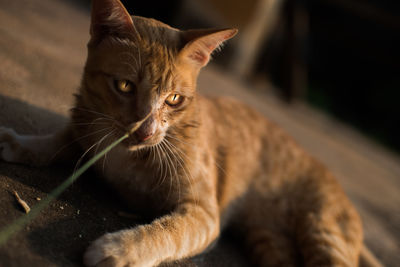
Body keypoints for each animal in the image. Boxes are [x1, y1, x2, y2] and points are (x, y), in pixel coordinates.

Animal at [0, 0, 382, 267]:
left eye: (174, 99)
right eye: (124, 86)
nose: (145, 132)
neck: (125, 155)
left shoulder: (203, 213)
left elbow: (166, 232)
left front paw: (118, 248)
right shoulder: (85, 132)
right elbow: (54, 141)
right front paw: (18, 142)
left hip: (323, 231)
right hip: (269, 241)